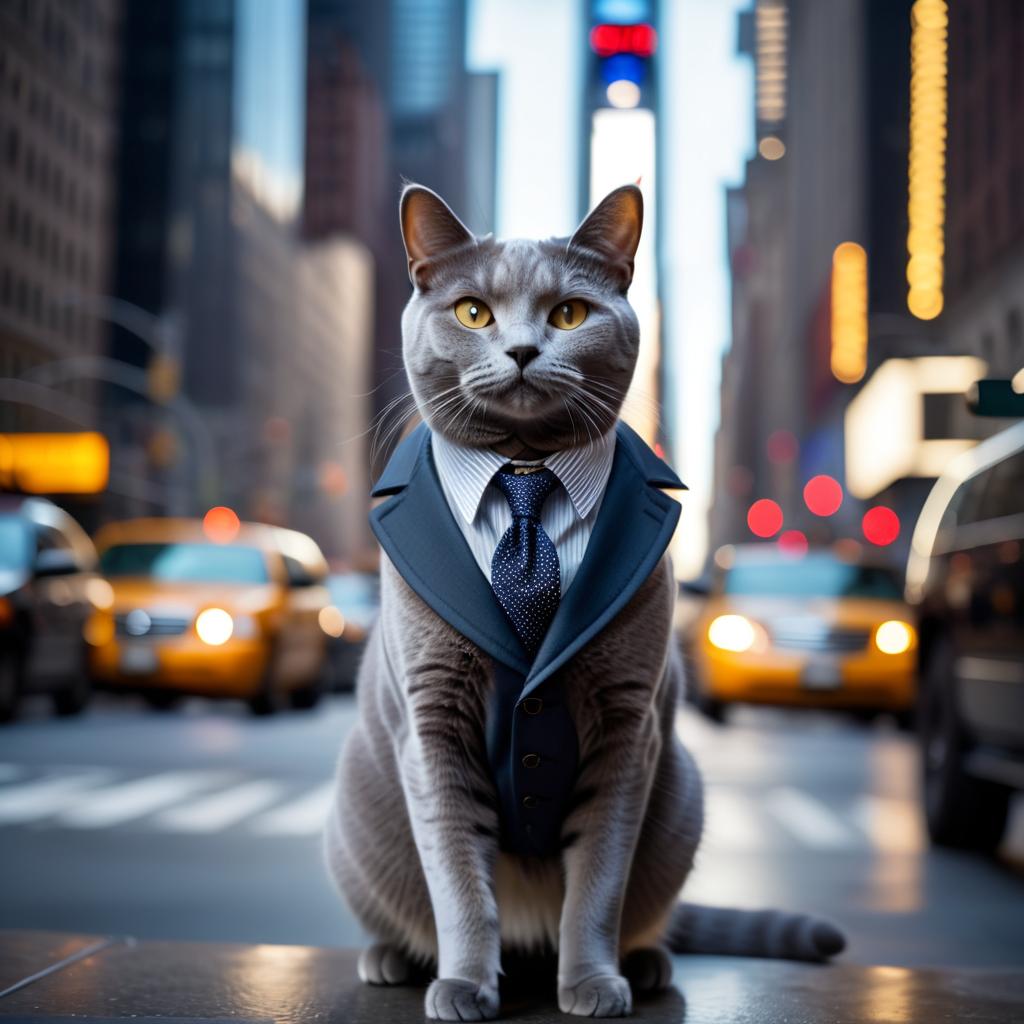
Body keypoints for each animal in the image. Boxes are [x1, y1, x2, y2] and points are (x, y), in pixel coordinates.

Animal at [323, 186, 843, 1024]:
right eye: (473, 312)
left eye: (569, 314)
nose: (523, 350)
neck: (524, 470)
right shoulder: (432, 720)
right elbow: (458, 879)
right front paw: (465, 986)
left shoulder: (629, 724)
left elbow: (598, 881)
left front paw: (595, 985)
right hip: (353, 818)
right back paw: (392, 959)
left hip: (682, 796)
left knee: (639, 910)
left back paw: (649, 963)